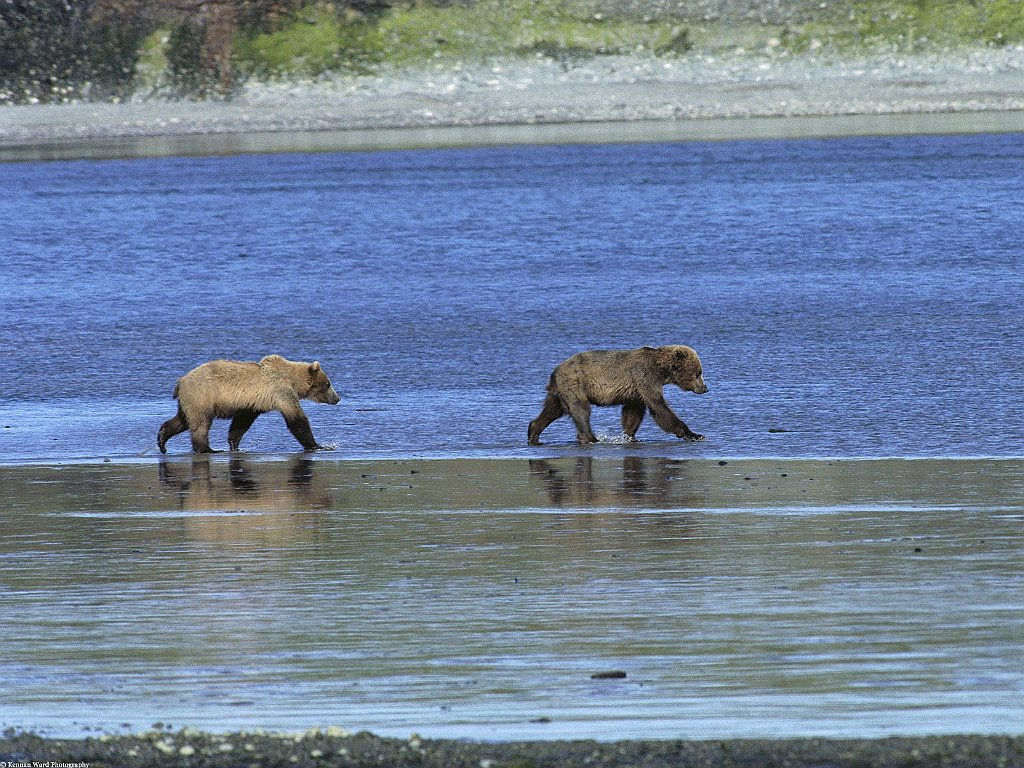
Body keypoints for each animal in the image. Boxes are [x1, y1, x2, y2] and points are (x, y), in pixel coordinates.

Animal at [155, 356, 339, 456]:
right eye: (328, 384)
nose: (337, 398)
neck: (293, 381)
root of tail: (181, 380)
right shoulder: (282, 392)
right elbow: (296, 420)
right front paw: (318, 445)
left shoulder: (251, 404)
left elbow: (241, 422)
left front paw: (234, 444)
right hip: (202, 396)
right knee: (200, 424)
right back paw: (208, 449)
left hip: (189, 400)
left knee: (182, 420)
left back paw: (162, 440)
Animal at [528, 348, 704, 448]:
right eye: (698, 373)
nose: (704, 388)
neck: (661, 370)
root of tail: (554, 371)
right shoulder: (644, 377)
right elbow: (659, 407)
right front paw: (694, 434)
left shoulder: (636, 391)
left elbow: (632, 413)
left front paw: (629, 435)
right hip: (574, 384)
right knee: (581, 409)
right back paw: (591, 438)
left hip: (559, 392)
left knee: (552, 410)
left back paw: (534, 434)